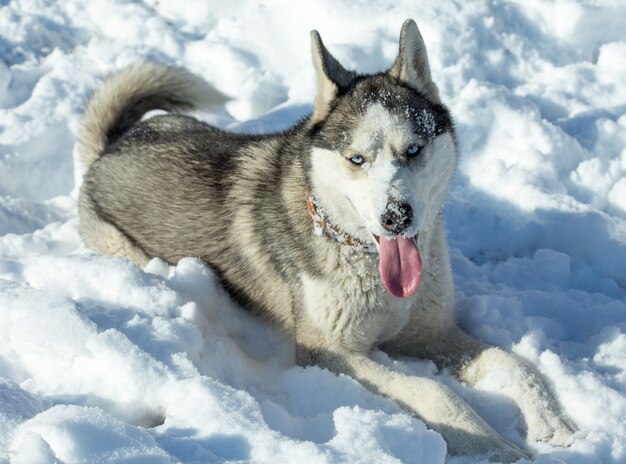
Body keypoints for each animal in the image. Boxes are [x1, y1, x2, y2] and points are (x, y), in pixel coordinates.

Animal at [79, 20, 576, 460]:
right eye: (357, 159)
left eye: (414, 150)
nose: (396, 217)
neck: (364, 259)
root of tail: (111, 148)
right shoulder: (327, 352)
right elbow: (432, 390)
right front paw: (496, 446)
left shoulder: (432, 334)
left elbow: (513, 363)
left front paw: (552, 423)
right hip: (121, 246)